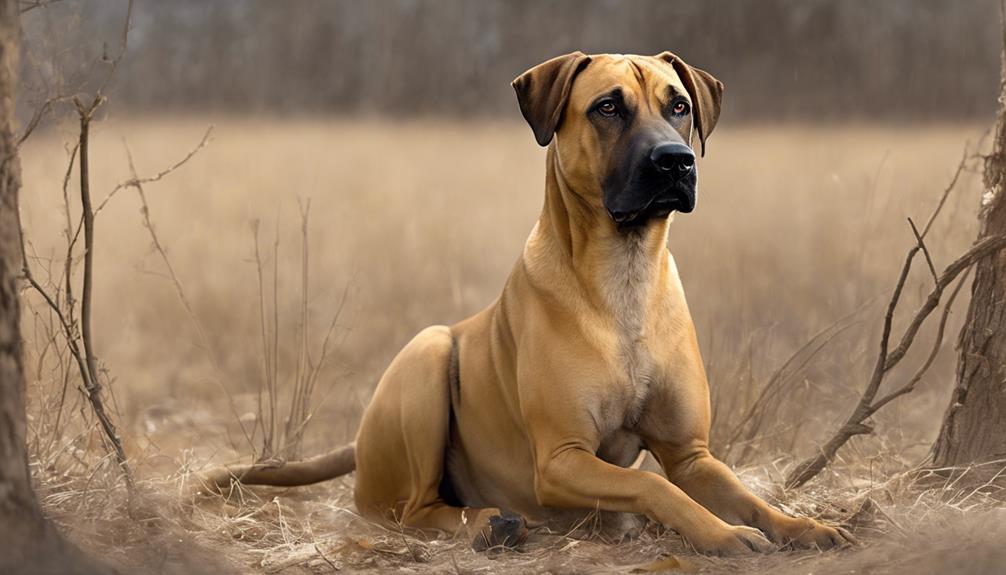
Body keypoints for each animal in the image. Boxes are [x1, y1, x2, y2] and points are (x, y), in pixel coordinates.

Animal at [202, 51, 849, 554]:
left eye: (679, 106)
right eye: (607, 107)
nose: (675, 161)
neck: (625, 275)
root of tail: (361, 440)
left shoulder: (692, 454)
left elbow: (747, 495)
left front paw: (802, 525)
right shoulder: (561, 458)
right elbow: (653, 485)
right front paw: (721, 534)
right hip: (427, 354)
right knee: (415, 509)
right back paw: (488, 524)